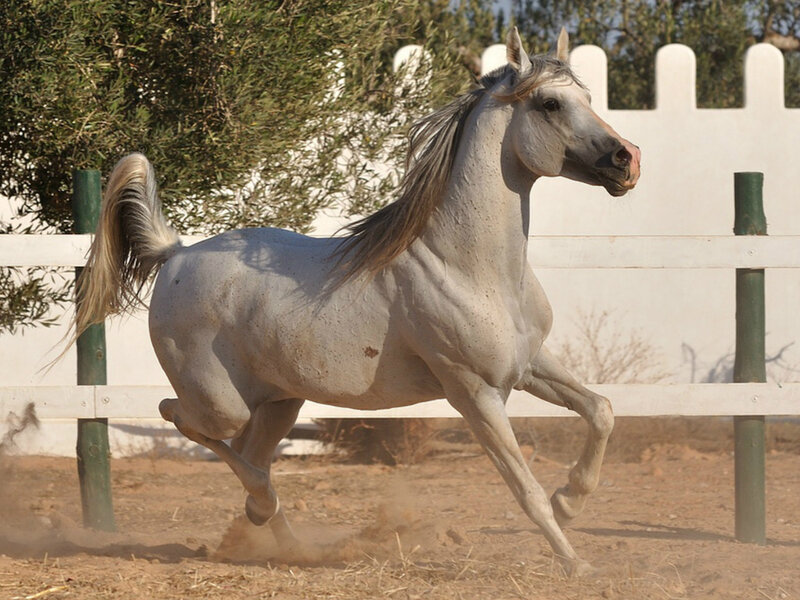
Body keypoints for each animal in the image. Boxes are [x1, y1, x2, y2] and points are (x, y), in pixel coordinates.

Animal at [72, 28, 640, 575]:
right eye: (549, 103)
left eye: (589, 97)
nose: (627, 160)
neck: (467, 267)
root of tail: (177, 254)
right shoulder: (474, 392)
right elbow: (525, 489)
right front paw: (576, 562)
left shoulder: (527, 365)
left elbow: (602, 410)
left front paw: (571, 500)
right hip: (223, 405)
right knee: (181, 417)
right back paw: (267, 506)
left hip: (279, 402)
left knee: (252, 457)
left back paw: (280, 531)